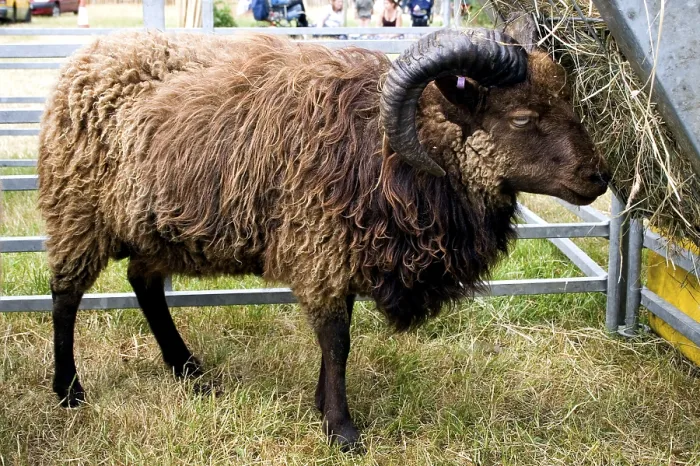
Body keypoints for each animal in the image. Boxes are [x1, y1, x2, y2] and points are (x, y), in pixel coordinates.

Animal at [38, 19, 610, 450]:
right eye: (523, 117)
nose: (598, 178)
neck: (390, 152)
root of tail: (82, 60)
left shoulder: (341, 249)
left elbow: (337, 335)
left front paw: (321, 406)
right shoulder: (320, 247)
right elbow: (338, 341)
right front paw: (341, 429)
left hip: (154, 226)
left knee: (144, 283)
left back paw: (188, 370)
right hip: (77, 211)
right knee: (65, 296)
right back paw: (68, 390)